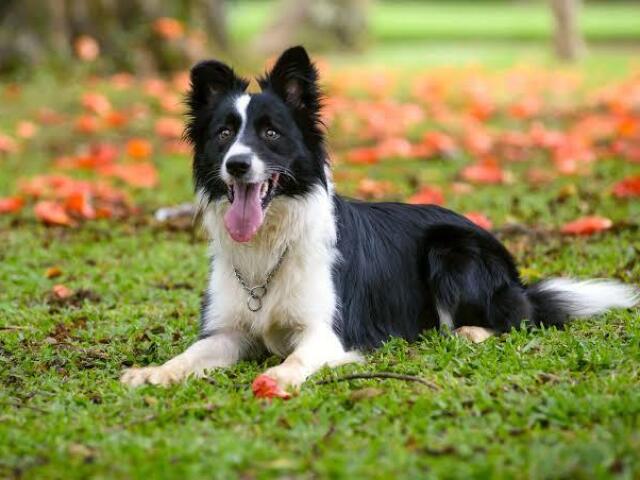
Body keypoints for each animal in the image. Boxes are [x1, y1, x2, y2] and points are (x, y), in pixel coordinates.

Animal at [121, 47, 640, 396]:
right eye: (224, 133)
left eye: (270, 133)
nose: (237, 165)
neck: (270, 244)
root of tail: (514, 274)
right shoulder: (227, 332)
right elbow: (190, 354)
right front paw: (154, 372)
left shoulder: (329, 331)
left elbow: (300, 354)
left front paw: (280, 375)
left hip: (451, 250)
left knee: (517, 319)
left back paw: (470, 332)